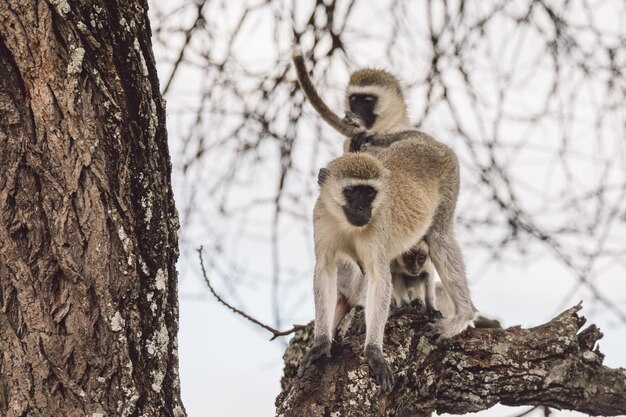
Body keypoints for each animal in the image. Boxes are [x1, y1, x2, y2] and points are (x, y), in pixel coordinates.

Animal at [292, 51, 472, 342]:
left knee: (439, 237)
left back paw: (463, 315)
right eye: (354, 99)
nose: (361, 210)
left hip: (449, 178)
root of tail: (430, 143)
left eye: (367, 101)